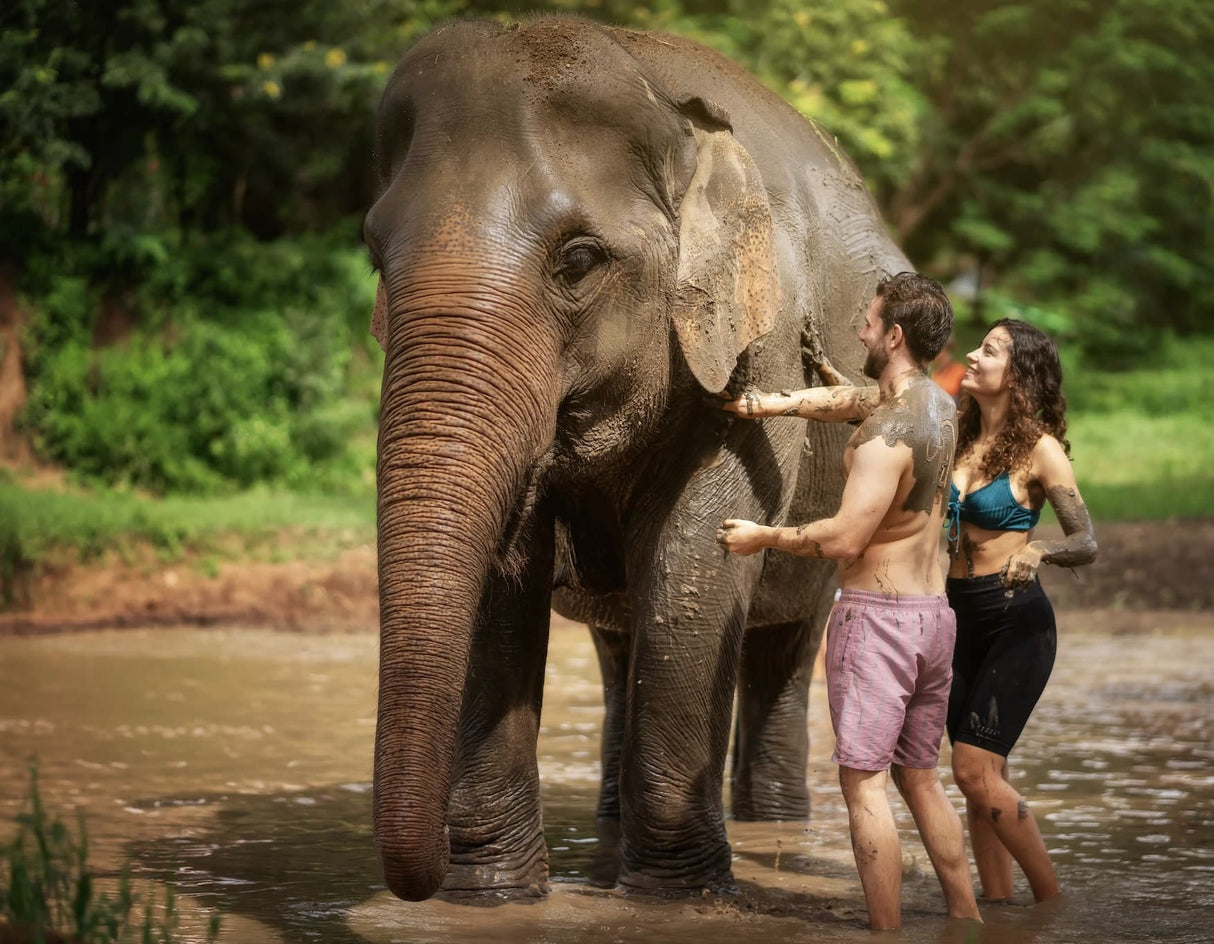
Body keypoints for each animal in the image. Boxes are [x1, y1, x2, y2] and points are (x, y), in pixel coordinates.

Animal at [363, 17, 909, 903]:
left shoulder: (760, 340)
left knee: (787, 647)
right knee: (621, 649)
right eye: (376, 256)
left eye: (578, 260)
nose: (420, 877)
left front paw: (678, 898)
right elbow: (501, 578)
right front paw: (490, 898)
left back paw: (773, 830)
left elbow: (695, 556)